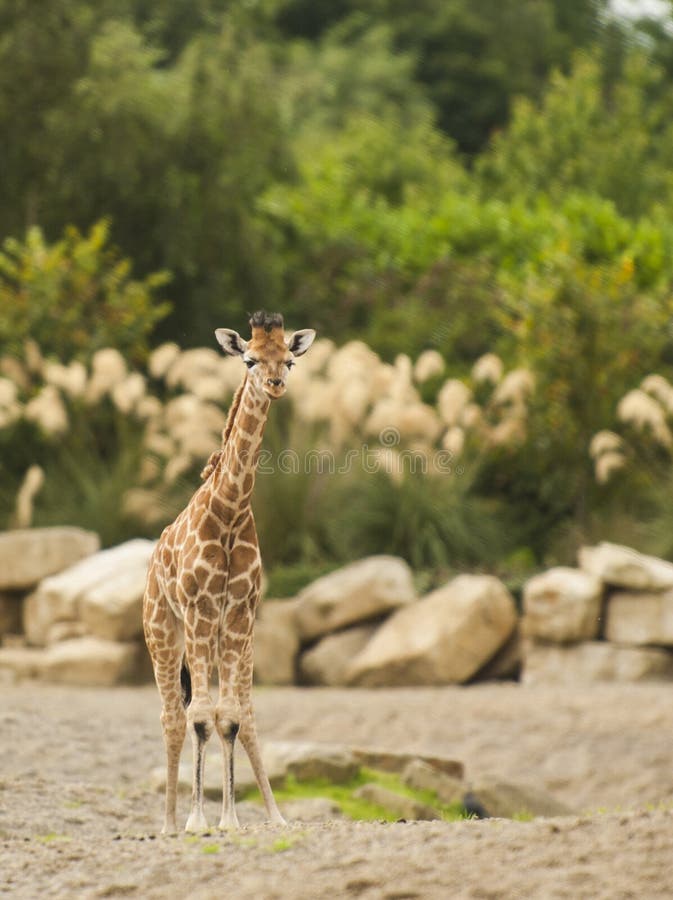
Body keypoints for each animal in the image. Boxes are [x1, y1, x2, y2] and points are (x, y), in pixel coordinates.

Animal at [143, 310, 316, 833]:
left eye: (289, 359)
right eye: (249, 359)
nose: (276, 383)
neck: (230, 511)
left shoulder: (239, 614)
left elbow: (232, 717)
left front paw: (233, 820)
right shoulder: (200, 612)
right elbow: (201, 715)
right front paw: (199, 821)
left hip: (229, 641)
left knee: (243, 713)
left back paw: (275, 816)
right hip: (164, 632)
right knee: (172, 716)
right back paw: (169, 823)